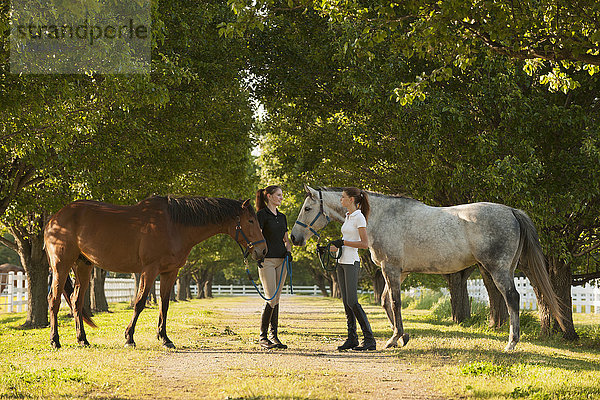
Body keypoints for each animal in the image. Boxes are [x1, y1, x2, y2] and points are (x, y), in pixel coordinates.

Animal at [44, 195, 264, 348]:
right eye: (251, 221)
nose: (262, 251)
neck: (174, 225)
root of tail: (54, 219)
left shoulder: (170, 272)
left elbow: (164, 305)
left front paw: (165, 338)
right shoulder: (150, 270)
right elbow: (140, 302)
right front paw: (129, 338)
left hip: (83, 266)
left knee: (76, 302)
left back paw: (82, 340)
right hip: (61, 266)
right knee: (54, 300)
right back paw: (55, 341)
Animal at [292, 187, 568, 350]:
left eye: (307, 208)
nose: (294, 238)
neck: (379, 217)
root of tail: (511, 210)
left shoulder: (391, 270)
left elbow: (395, 302)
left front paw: (394, 339)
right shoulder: (399, 272)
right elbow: (385, 301)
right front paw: (402, 336)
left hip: (497, 269)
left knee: (512, 298)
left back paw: (511, 343)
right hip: (507, 268)